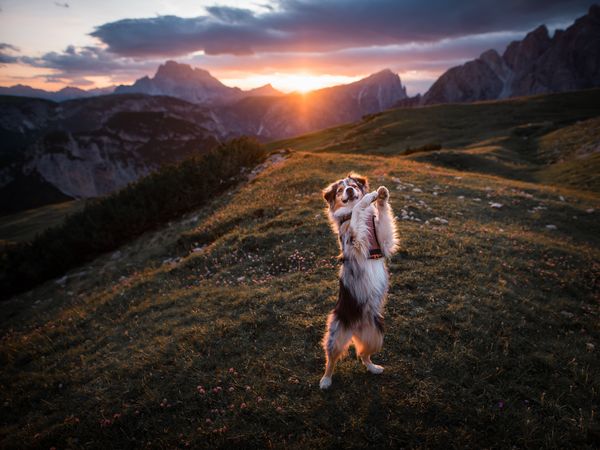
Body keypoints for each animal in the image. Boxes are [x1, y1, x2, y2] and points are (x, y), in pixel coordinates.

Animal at [318, 172, 398, 390]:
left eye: (353, 184)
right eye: (339, 190)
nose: (349, 190)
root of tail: (355, 329)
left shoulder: (383, 242)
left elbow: (384, 219)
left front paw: (382, 197)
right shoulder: (354, 241)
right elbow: (355, 213)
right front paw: (368, 198)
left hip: (376, 336)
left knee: (363, 355)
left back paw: (374, 368)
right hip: (336, 335)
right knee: (331, 359)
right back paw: (326, 380)